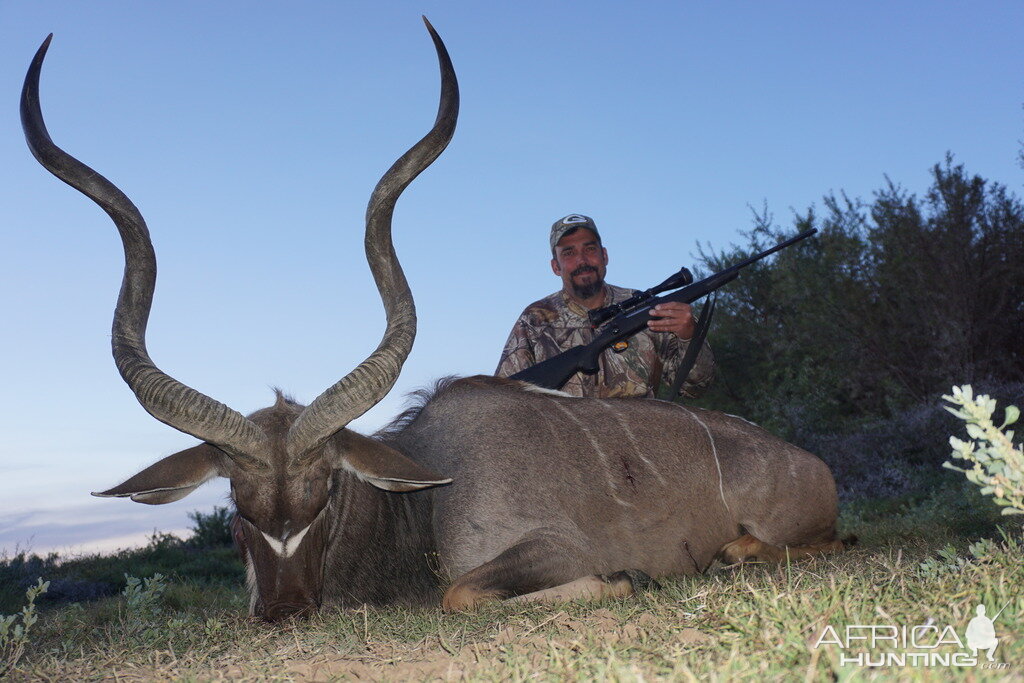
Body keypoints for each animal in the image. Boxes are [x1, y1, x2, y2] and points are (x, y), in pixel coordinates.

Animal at [24, 21, 839, 622]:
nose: (284, 610)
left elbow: (460, 591)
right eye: (236, 510)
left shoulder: (552, 549)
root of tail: (815, 465)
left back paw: (733, 554)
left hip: (799, 530)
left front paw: (627, 579)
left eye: (325, 496)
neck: (422, 501)